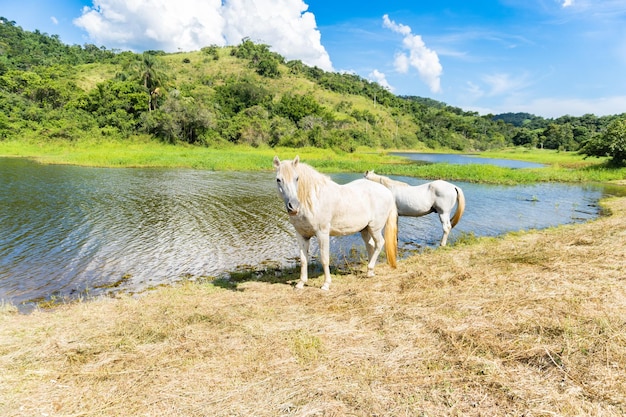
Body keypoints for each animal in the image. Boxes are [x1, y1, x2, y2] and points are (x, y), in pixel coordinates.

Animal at [272, 156, 394, 290]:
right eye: (278, 179)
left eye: (297, 178)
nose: (293, 206)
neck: (313, 200)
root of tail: (388, 192)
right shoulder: (301, 235)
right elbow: (303, 260)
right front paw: (300, 283)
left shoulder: (322, 234)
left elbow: (324, 259)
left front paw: (326, 284)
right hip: (365, 229)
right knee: (371, 246)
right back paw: (370, 273)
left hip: (375, 228)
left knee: (379, 243)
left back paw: (370, 268)